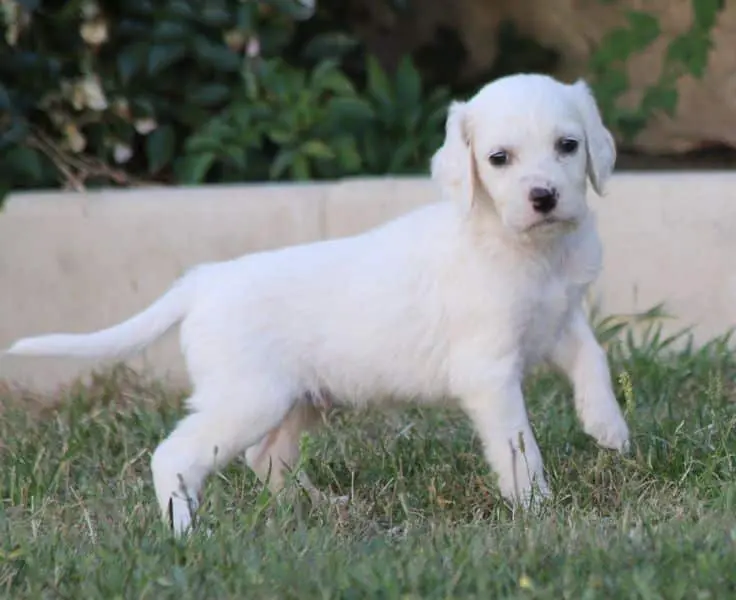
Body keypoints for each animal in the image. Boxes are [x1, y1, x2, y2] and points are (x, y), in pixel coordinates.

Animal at [5, 73, 630, 535]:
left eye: (568, 146)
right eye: (499, 158)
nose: (544, 197)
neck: (521, 244)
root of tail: (203, 281)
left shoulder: (560, 319)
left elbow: (592, 358)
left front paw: (609, 429)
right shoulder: (490, 372)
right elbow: (517, 444)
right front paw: (537, 506)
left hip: (295, 400)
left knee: (265, 459)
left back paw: (316, 509)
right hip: (248, 398)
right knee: (175, 455)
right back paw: (185, 532)